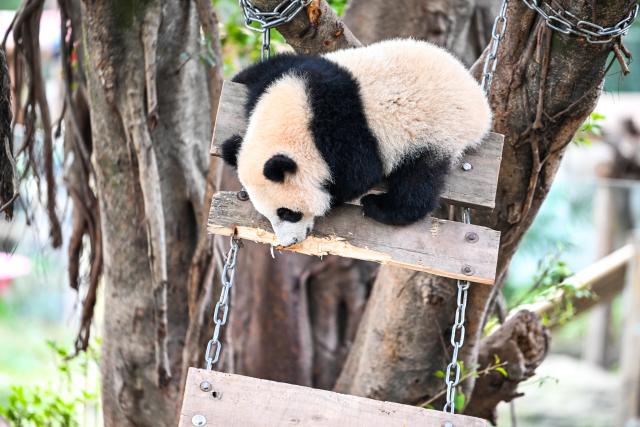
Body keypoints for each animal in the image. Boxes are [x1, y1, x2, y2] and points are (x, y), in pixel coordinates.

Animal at [221, 38, 492, 247]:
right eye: (268, 214)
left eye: (288, 213)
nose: (290, 243)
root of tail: (481, 109)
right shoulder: (291, 74)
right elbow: (265, 69)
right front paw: (230, 145)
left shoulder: (343, 127)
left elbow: (359, 174)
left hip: (435, 131)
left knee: (419, 179)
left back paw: (380, 206)